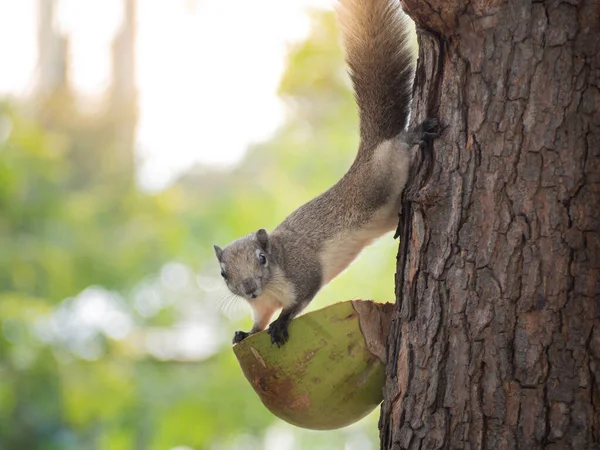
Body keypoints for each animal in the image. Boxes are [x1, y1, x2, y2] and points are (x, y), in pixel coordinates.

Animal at [213, 0, 438, 346]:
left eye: (262, 258)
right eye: (224, 274)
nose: (249, 288)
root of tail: (369, 152)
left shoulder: (302, 273)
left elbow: (299, 300)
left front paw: (282, 322)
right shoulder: (261, 305)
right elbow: (258, 321)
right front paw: (245, 333)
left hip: (381, 173)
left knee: (397, 147)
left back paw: (414, 135)